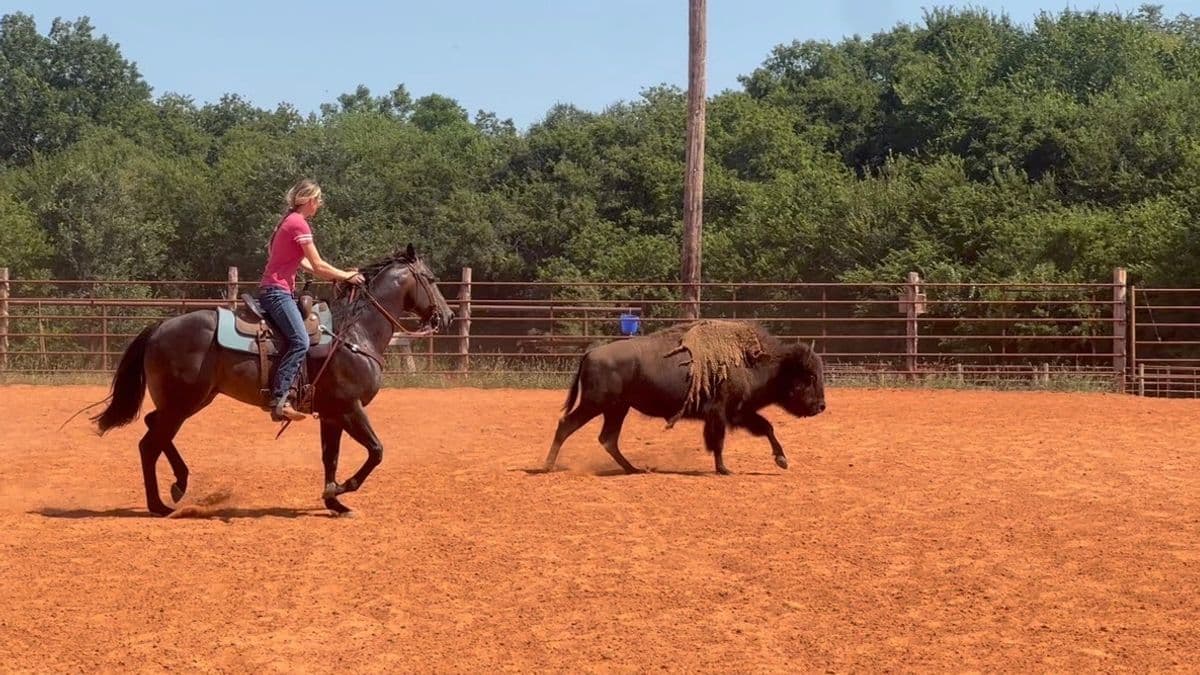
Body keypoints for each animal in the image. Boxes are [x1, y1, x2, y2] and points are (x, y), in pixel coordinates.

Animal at [542, 320, 826, 475]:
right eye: (809, 377)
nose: (821, 406)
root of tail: (590, 353)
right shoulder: (721, 414)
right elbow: (718, 441)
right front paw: (724, 469)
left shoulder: (739, 413)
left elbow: (767, 427)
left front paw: (782, 460)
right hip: (595, 404)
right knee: (566, 425)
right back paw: (547, 466)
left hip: (617, 409)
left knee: (608, 439)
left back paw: (634, 469)